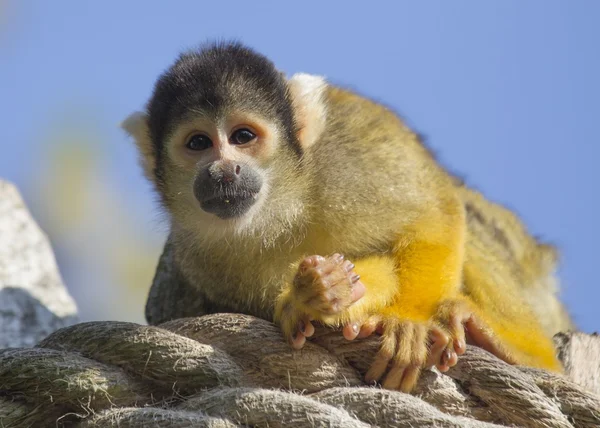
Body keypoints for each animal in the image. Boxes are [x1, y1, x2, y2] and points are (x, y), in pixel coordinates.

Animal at [122, 41, 572, 392]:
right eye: (198, 143)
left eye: (243, 137)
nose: (224, 171)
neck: (280, 205)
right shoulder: (200, 259)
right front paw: (319, 293)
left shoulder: (347, 164)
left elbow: (435, 212)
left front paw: (405, 322)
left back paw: (517, 349)